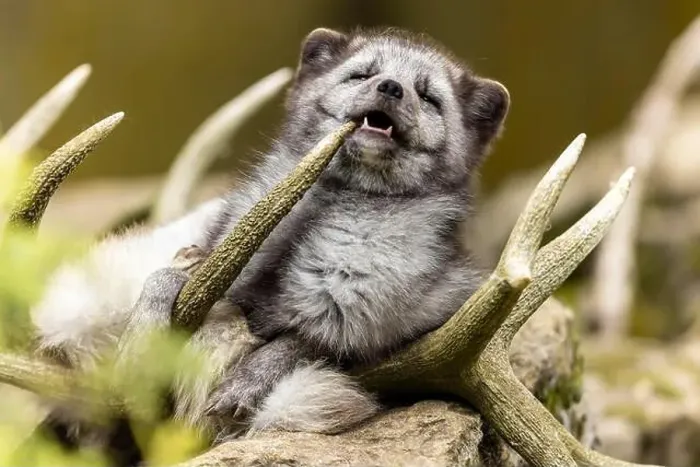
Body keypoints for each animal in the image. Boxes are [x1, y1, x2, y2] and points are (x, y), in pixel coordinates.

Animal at [27, 27, 510, 464]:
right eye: (362, 75)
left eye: (428, 98)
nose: (391, 86)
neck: (326, 204)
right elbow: (165, 277)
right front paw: (143, 337)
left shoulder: (425, 313)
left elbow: (307, 341)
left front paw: (245, 382)